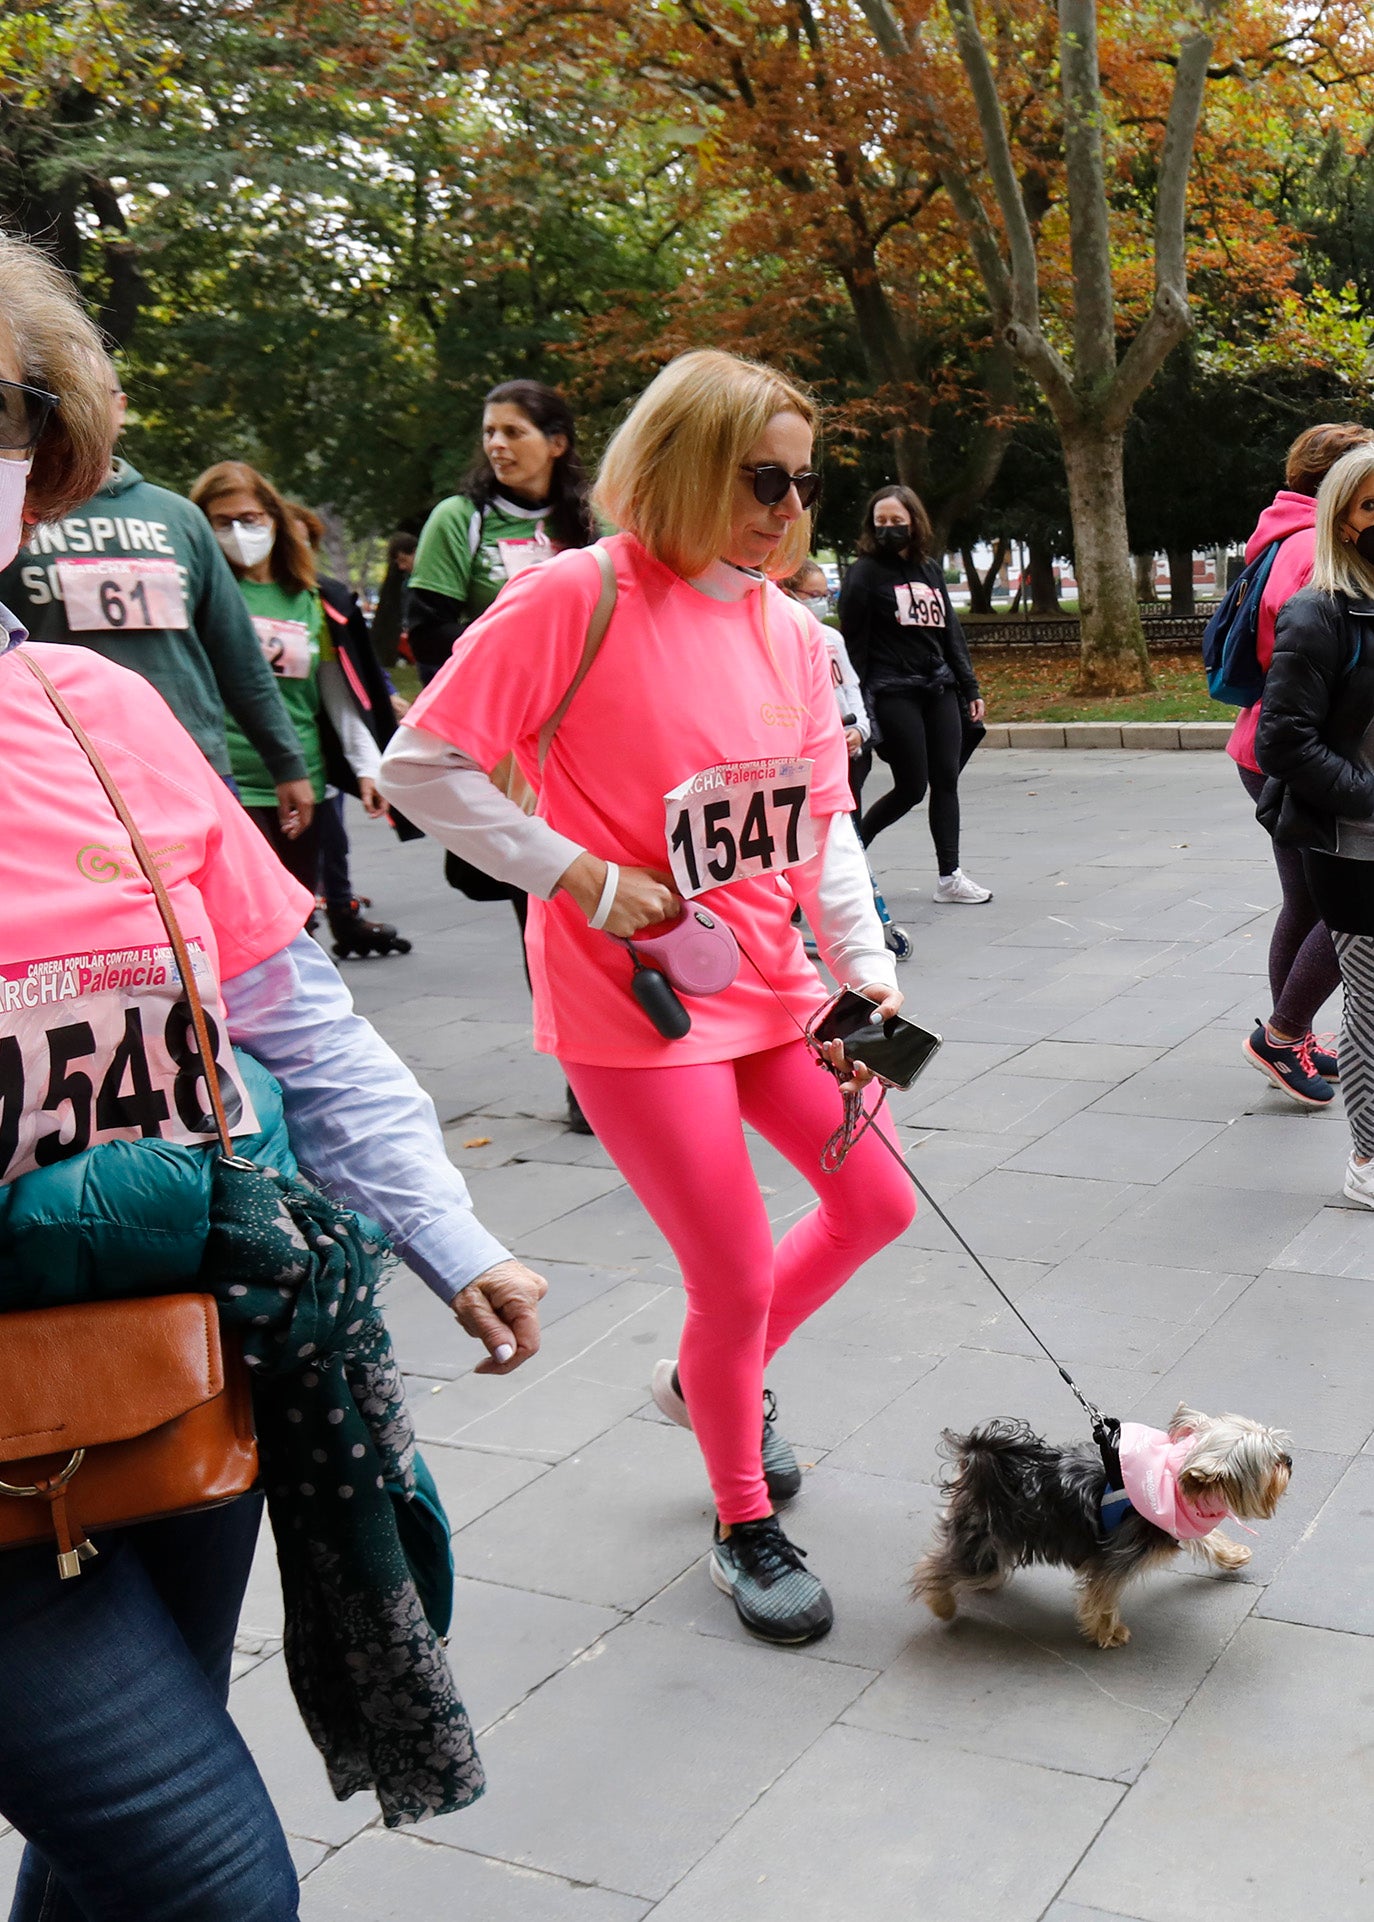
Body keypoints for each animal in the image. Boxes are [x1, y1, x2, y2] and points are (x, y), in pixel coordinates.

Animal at [914, 1399, 1291, 1652]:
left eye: (1277, 1448)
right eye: (1268, 1463)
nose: (1289, 1459)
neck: (1173, 1480)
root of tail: (982, 1464)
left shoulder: (1169, 1521)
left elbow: (1207, 1538)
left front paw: (1233, 1555)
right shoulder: (1117, 1557)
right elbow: (1104, 1594)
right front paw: (1108, 1632)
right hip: (985, 1536)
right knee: (936, 1566)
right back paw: (942, 1604)